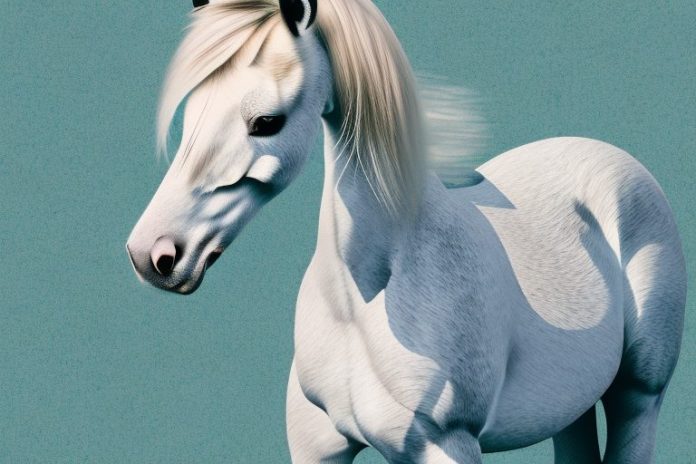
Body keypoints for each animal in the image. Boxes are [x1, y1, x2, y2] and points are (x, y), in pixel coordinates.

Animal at [126, 1, 687, 462]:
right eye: (193, 110)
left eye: (266, 121)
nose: (153, 254)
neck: (366, 298)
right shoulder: (317, 446)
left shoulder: (445, 445)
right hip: (569, 406)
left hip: (638, 395)